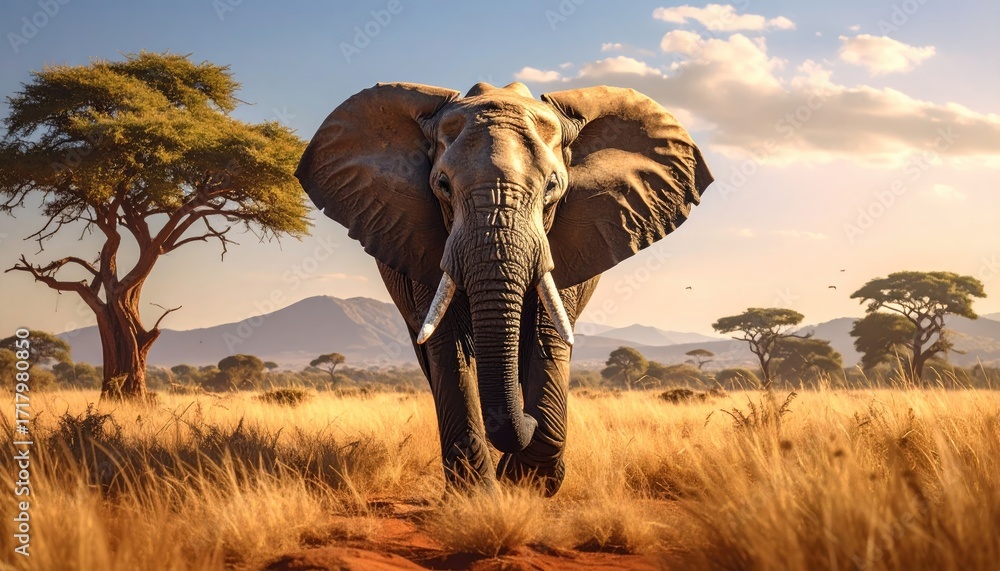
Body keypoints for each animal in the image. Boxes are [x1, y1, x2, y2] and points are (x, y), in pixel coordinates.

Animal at [296, 81, 712, 496]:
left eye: (553, 187)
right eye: (443, 186)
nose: (525, 424)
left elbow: (548, 337)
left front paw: (526, 482)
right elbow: (448, 349)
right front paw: (477, 496)